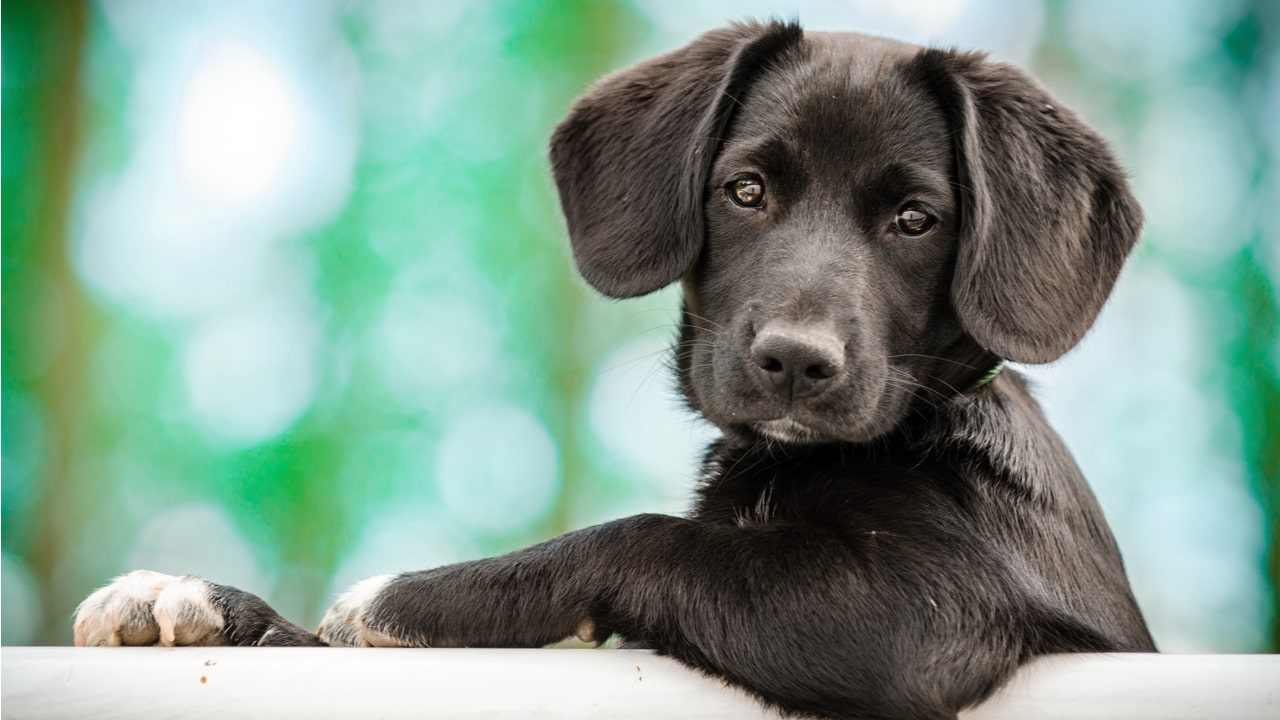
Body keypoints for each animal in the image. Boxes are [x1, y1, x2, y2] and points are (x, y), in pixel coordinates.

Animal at [74, 20, 1157, 717]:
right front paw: (208, 607)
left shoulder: (931, 607)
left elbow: (644, 538)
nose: (794, 363)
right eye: (745, 191)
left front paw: (396, 597)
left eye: (915, 219)